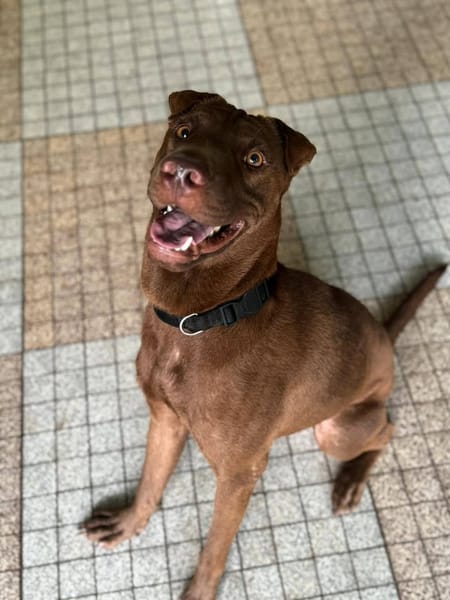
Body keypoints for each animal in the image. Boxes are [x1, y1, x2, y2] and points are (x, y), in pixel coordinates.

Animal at [83, 90, 446, 599]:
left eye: (254, 160)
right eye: (184, 131)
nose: (181, 171)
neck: (201, 320)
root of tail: (384, 337)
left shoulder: (240, 474)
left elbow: (216, 544)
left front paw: (201, 590)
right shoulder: (165, 420)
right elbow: (151, 481)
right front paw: (131, 521)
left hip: (337, 430)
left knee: (388, 429)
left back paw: (351, 479)